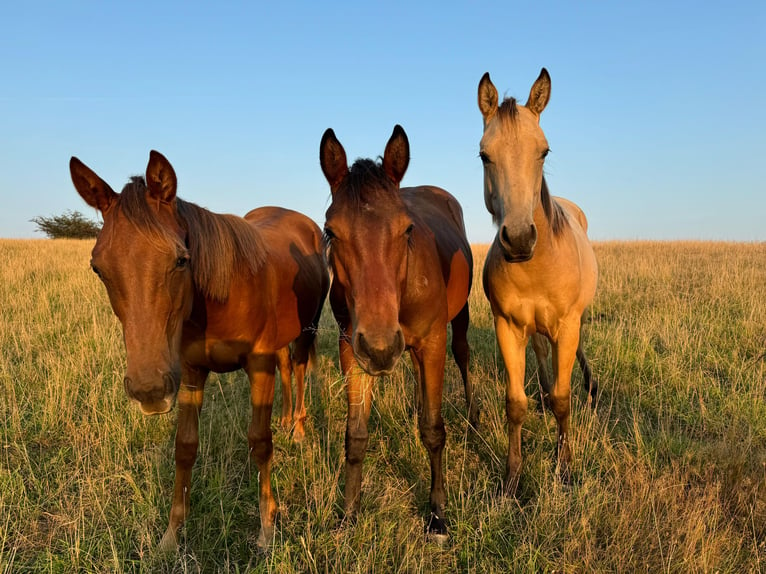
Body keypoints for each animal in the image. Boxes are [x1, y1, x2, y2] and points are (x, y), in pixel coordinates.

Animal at [68, 152, 328, 552]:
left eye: (180, 260)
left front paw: (267, 527)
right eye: (98, 267)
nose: (149, 390)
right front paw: (171, 534)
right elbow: (185, 448)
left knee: (298, 368)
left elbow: (259, 442)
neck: (223, 293)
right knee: (287, 368)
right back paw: (286, 420)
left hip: (308, 328)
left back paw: (297, 428)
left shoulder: (258, 364)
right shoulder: (190, 372)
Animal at [318, 124, 474, 544]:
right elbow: (355, 435)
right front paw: (348, 515)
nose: (381, 347)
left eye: (407, 229)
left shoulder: (432, 344)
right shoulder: (351, 350)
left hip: (458, 321)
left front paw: (437, 517)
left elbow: (434, 430)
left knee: (464, 355)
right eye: (330, 232)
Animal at [480, 67, 600, 490]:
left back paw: (591, 386)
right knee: (541, 352)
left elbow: (565, 401)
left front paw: (564, 467)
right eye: (485, 155)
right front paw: (512, 477)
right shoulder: (507, 326)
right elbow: (515, 404)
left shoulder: (567, 324)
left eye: (544, 151)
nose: (518, 239)